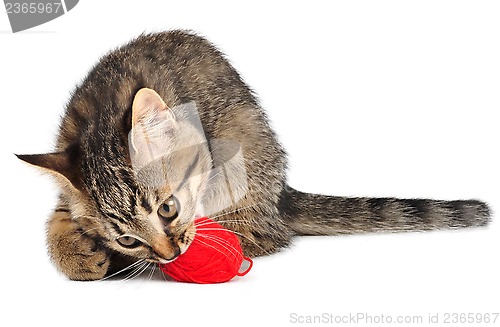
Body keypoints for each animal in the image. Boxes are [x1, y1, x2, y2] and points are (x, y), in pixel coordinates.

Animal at [16, 30, 492, 280]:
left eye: (168, 209)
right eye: (127, 237)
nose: (168, 255)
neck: (99, 114)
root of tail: (279, 193)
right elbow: (60, 216)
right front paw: (76, 252)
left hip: (241, 151)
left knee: (262, 235)